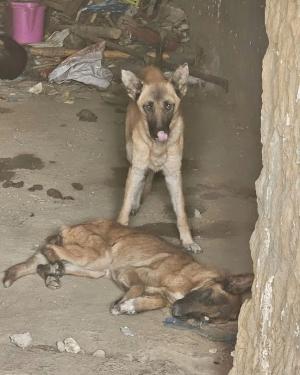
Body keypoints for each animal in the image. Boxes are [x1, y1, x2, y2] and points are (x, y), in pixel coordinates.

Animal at [2, 220, 253, 324]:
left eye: (205, 318)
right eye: (207, 295)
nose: (177, 313)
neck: (192, 282)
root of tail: (71, 226)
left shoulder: (161, 296)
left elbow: (154, 301)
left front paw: (130, 307)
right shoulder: (129, 271)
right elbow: (139, 287)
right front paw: (124, 303)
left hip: (96, 269)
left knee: (41, 264)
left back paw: (52, 274)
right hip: (99, 255)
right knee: (47, 248)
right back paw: (53, 264)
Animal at [118, 64, 202, 254]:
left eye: (168, 106)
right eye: (148, 107)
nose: (159, 132)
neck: (157, 148)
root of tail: (151, 67)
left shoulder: (173, 175)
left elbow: (181, 213)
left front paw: (187, 240)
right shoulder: (137, 168)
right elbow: (125, 204)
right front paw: (119, 226)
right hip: (130, 153)